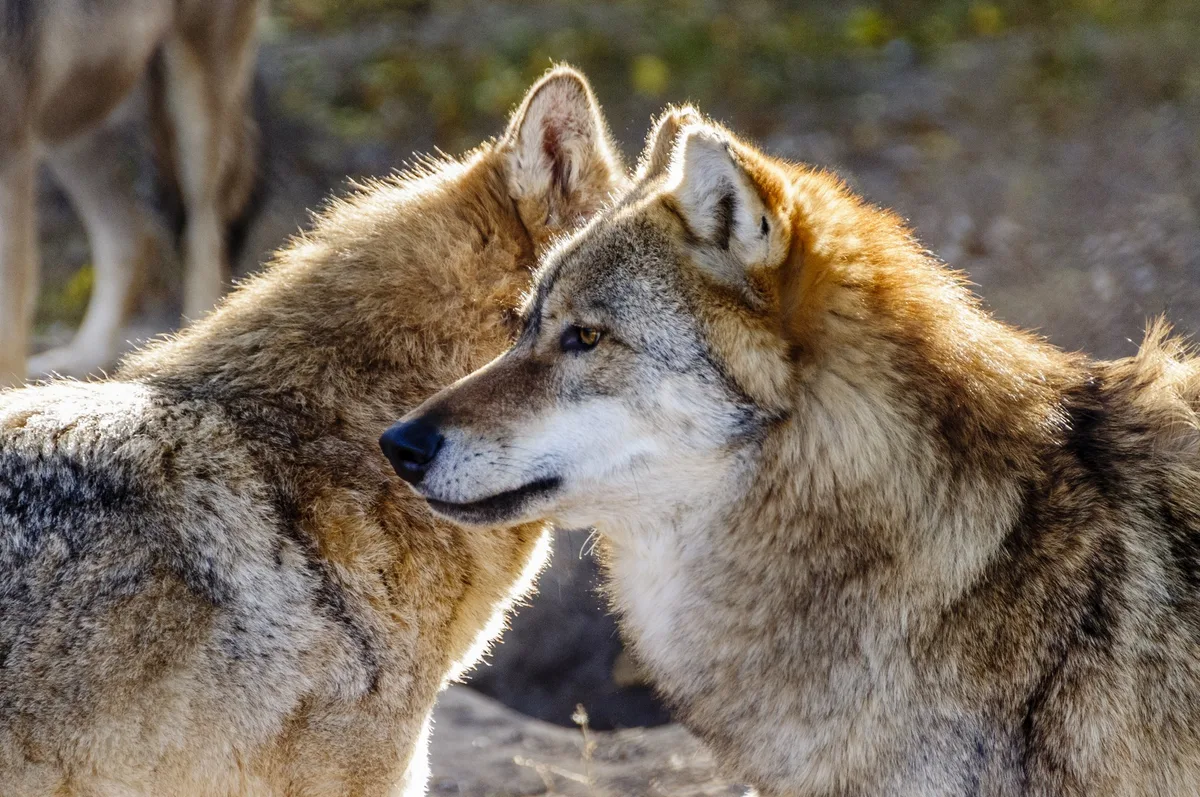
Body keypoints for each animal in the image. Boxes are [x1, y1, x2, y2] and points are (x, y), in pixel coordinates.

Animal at [0, 0, 265, 388]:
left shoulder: (12, 149)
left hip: (192, 103)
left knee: (205, 241)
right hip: (69, 124)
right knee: (134, 235)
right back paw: (81, 365)